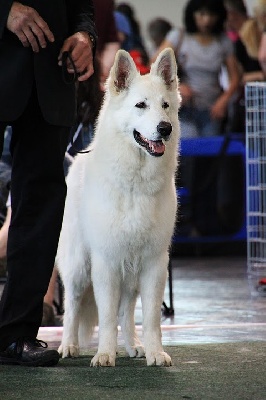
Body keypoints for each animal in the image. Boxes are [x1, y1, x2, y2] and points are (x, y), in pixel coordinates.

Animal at [57, 48, 182, 368]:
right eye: (141, 105)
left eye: (165, 105)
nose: (165, 128)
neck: (135, 183)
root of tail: (78, 160)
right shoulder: (106, 262)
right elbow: (106, 315)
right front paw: (104, 353)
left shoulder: (153, 263)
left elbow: (150, 318)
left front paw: (154, 352)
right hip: (79, 266)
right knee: (72, 307)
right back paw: (68, 346)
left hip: (131, 275)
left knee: (126, 311)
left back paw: (134, 345)